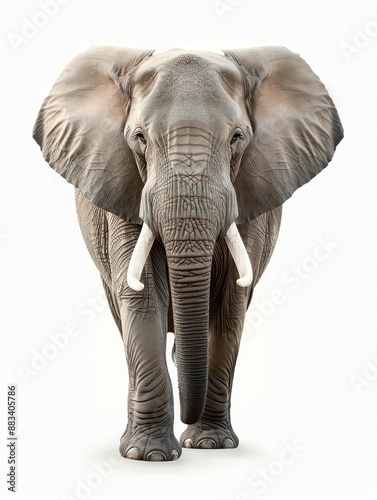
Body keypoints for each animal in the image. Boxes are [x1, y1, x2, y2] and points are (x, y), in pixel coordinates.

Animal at [33, 46, 342, 460]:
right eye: (139, 138)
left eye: (237, 138)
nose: (186, 419)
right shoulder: (126, 192)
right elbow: (142, 297)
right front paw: (149, 455)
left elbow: (229, 306)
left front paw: (210, 444)